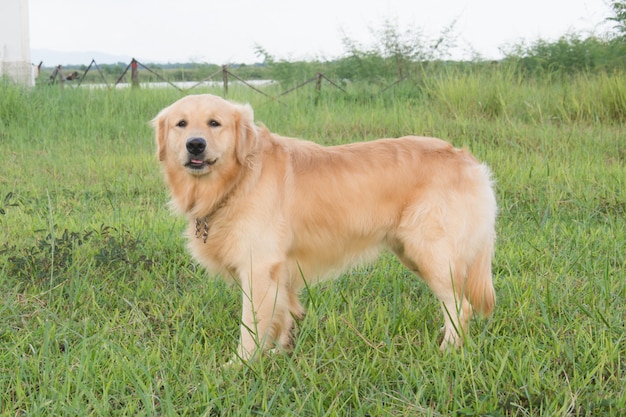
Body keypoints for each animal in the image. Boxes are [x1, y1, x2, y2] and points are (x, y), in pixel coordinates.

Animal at [150, 94, 492, 360]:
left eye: (214, 123)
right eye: (181, 124)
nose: (195, 145)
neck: (237, 181)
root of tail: (468, 161)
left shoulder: (258, 268)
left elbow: (251, 327)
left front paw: (240, 365)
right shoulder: (280, 271)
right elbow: (283, 317)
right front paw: (279, 354)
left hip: (430, 252)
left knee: (460, 306)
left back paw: (447, 350)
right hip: (414, 254)